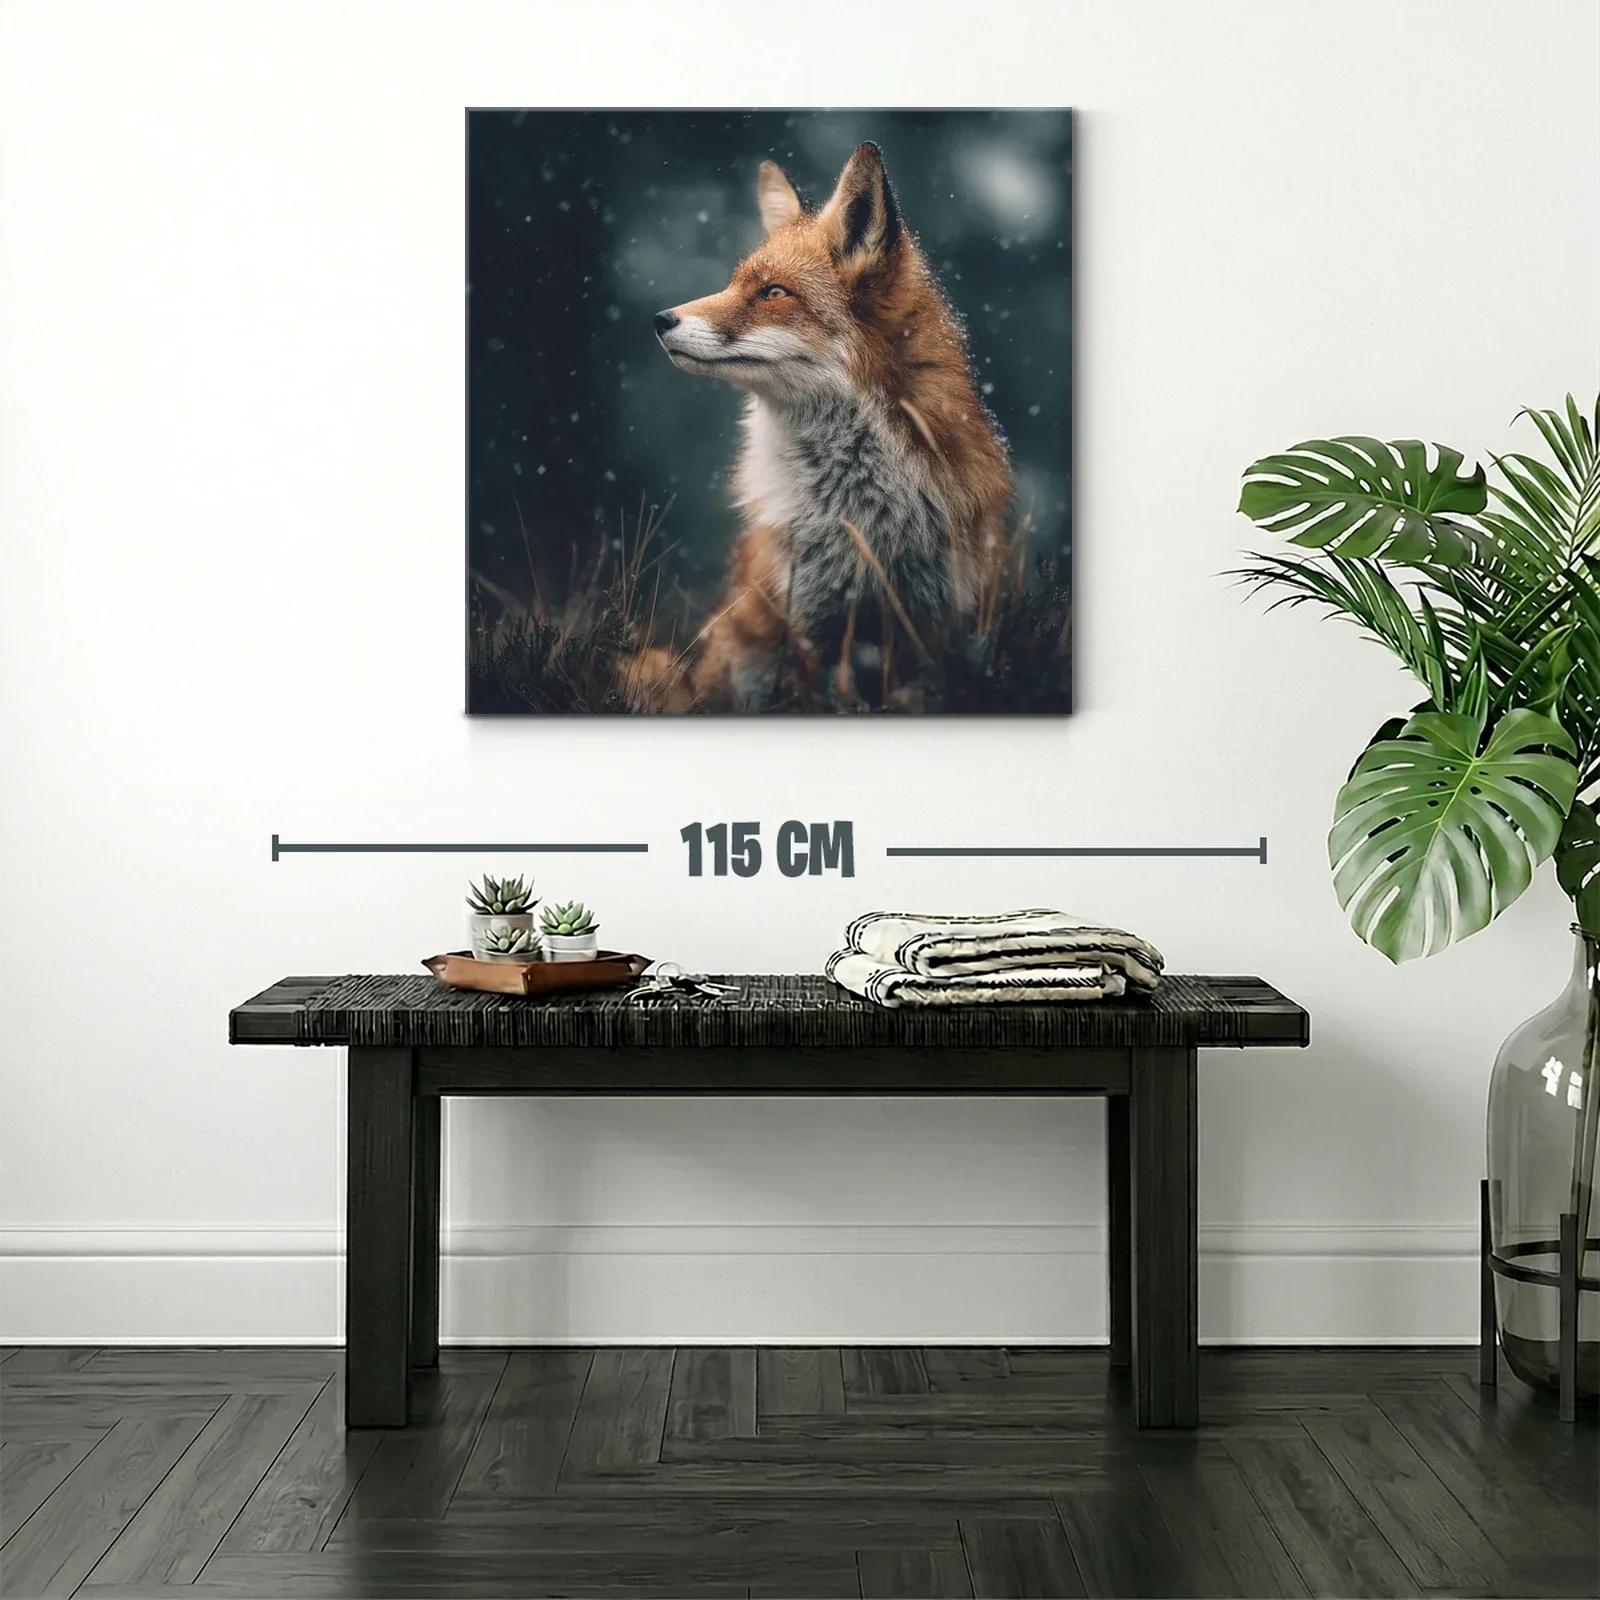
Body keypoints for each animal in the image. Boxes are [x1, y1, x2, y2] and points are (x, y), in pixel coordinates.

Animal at [643, 141, 1013, 710]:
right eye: (733, 283)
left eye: (773, 293)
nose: (661, 320)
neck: (858, 507)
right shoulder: (807, 617)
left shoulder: (933, 621)